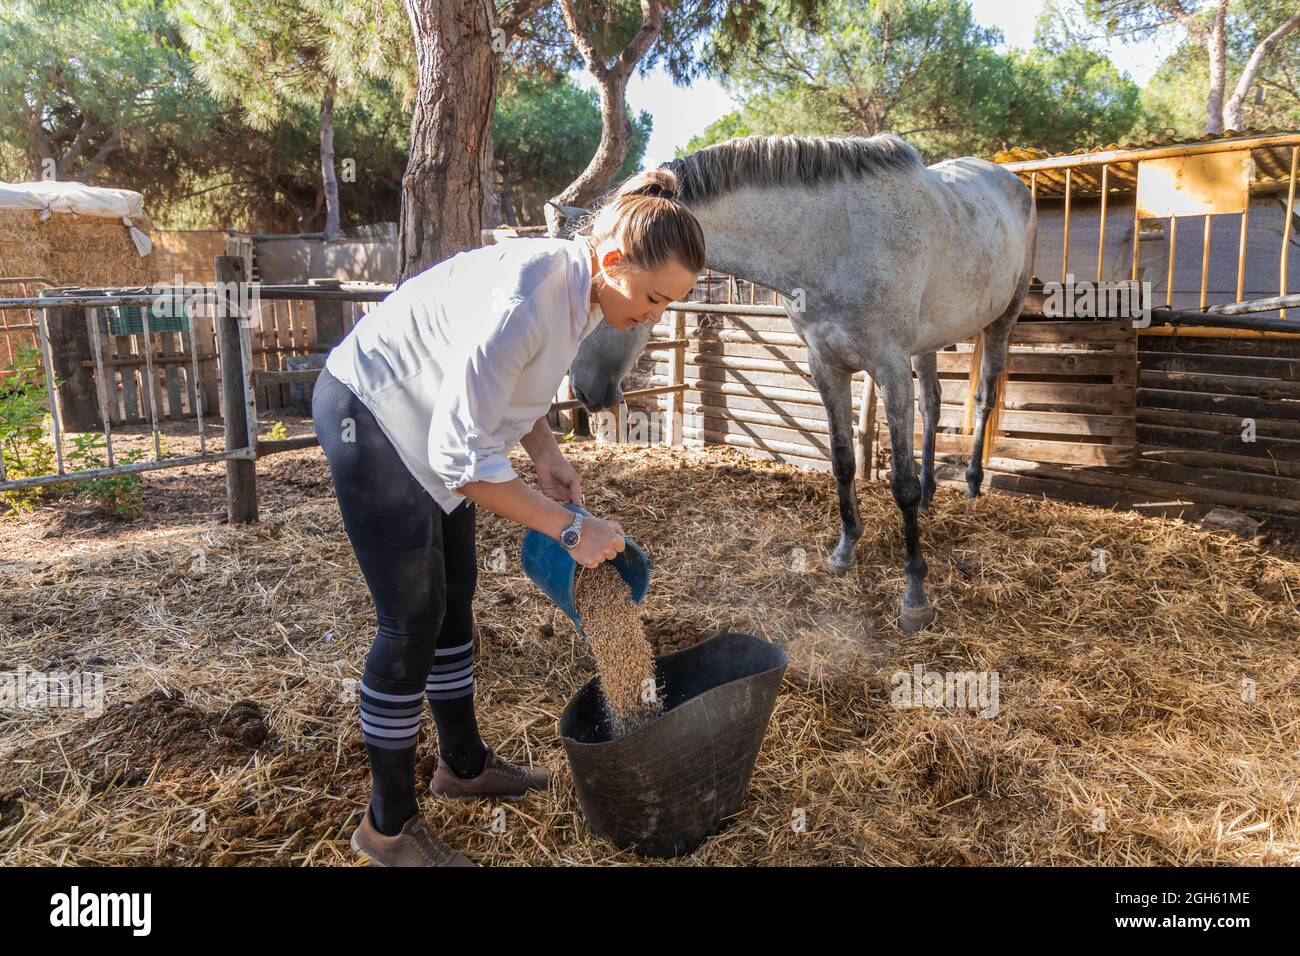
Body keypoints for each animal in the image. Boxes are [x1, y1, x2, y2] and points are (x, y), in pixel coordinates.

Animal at [565, 134, 1036, 634]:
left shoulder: (889, 366)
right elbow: (843, 462)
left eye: (598, 285)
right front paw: (845, 551)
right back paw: (932, 494)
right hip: (928, 343)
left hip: (1002, 321)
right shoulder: (825, 366)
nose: (583, 391)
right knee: (932, 404)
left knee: (984, 397)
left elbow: (900, 484)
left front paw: (915, 595)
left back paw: (972, 486)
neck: (835, 242)